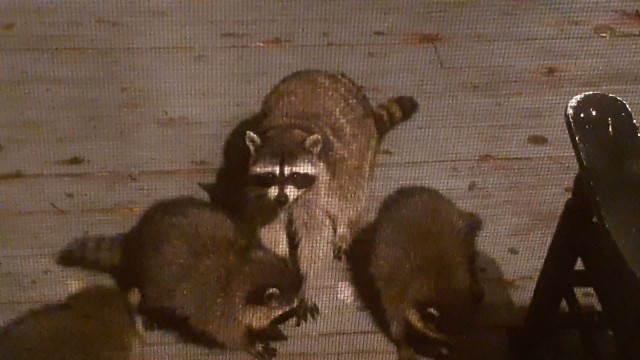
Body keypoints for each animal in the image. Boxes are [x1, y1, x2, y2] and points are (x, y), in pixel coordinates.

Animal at [57, 197, 304, 360]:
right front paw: (253, 343)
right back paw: (151, 311)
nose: (301, 304)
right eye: (291, 301)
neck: (244, 266)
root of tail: (135, 236)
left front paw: (267, 329)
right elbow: (227, 333)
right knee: (151, 295)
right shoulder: (220, 307)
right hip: (153, 276)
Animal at [242, 70, 418, 262]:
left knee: (349, 193)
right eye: (270, 175)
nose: (282, 199)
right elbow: (270, 228)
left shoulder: (319, 185)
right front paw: (279, 257)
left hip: (361, 151)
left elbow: (315, 232)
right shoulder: (260, 193)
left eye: (295, 176)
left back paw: (344, 227)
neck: (286, 130)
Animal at [348, 187, 482, 358]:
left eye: (465, 330)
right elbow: (396, 323)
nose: (462, 347)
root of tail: (409, 190)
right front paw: (403, 344)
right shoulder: (396, 290)